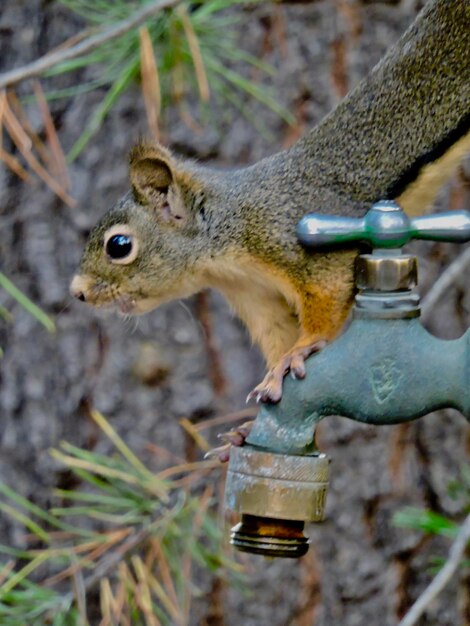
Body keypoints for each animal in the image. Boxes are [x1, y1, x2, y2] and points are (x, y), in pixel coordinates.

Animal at [70, 0, 470, 410]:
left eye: (119, 245)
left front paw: (300, 350)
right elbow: (278, 333)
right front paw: (271, 378)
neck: (227, 236)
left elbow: (325, 300)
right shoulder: (254, 297)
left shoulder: (292, 241)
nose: (77, 292)